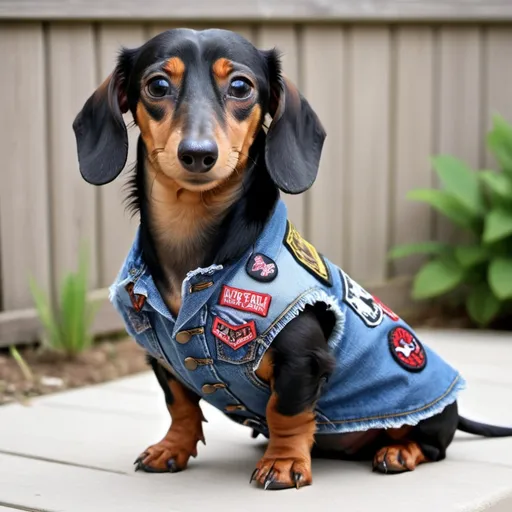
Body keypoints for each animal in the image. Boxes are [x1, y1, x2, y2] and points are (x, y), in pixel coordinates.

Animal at [72, 27, 512, 488]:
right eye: (157, 85)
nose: (198, 153)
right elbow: (180, 405)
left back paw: (399, 450)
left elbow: (286, 411)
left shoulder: (301, 359)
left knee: (431, 442)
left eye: (241, 87)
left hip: (421, 410)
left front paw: (283, 462)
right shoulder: (162, 356)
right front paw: (172, 448)